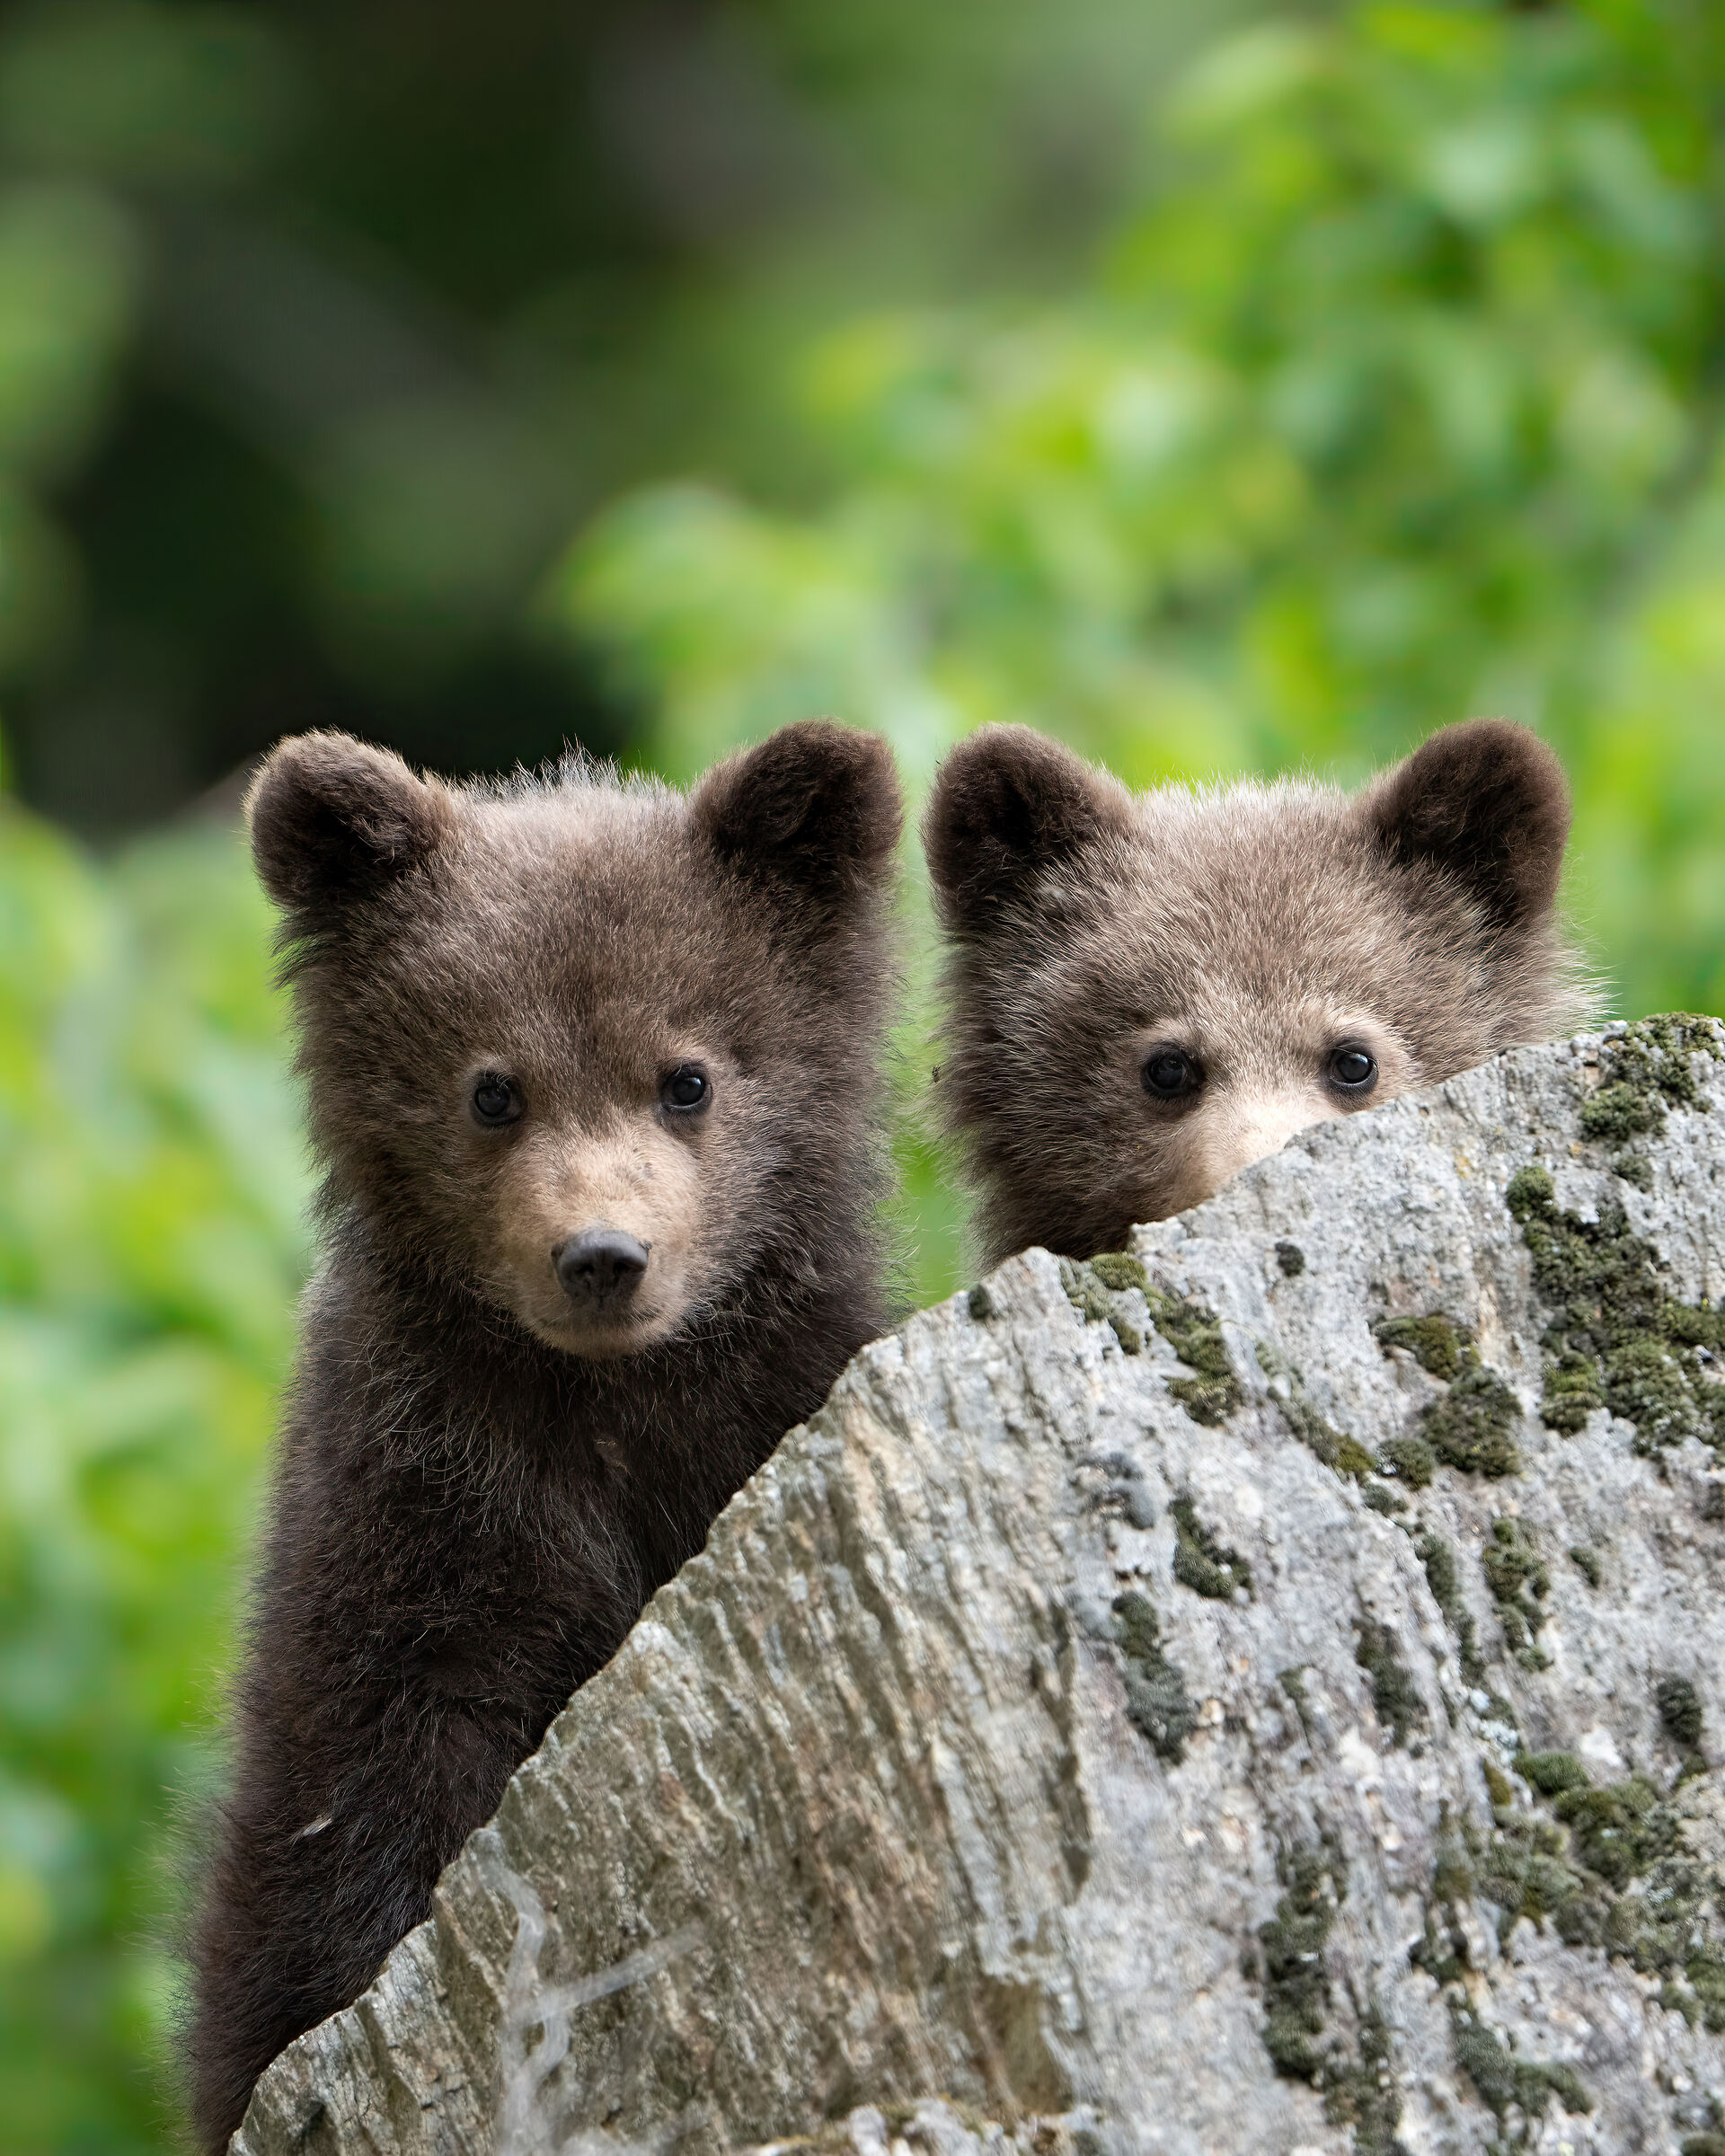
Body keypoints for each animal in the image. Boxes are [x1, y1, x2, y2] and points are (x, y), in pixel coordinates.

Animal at [188, 720, 902, 2151]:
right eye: (492, 1089)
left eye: (687, 1076)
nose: (603, 1257)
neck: (607, 1406)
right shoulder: (422, 1493)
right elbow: (380, 1775)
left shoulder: (773, 1391)